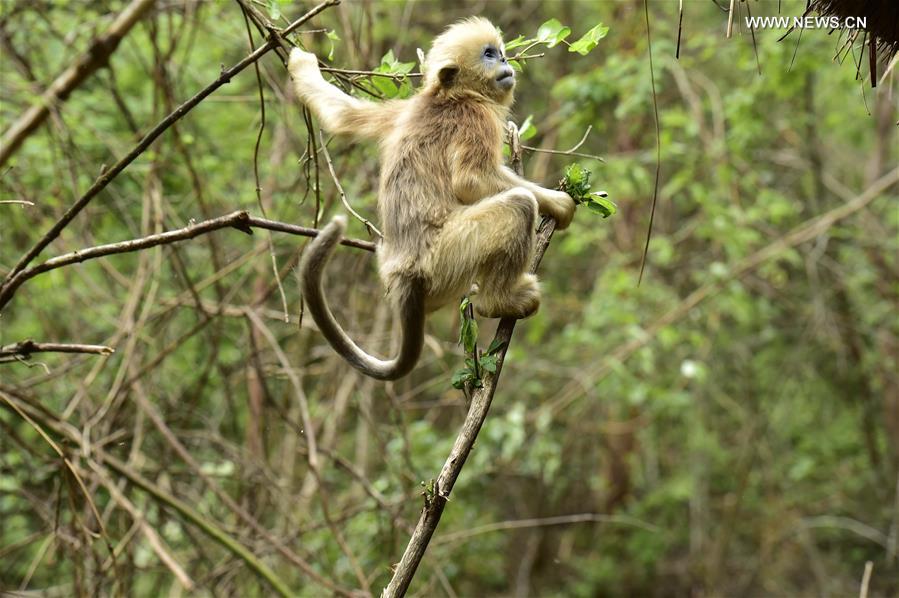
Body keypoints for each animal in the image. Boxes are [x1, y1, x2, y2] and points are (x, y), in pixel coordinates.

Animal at [292, 19, 580, 384]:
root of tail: (404, 276)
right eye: (489, 55)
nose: (505, 62)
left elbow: (342, 116)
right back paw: (499, 301)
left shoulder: (403, 109)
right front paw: (560, 203)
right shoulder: (475, 117)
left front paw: (301, 64)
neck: (449, 95)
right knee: (519, 205)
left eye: (500, 52)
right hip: (447, 255)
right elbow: (471, 180)